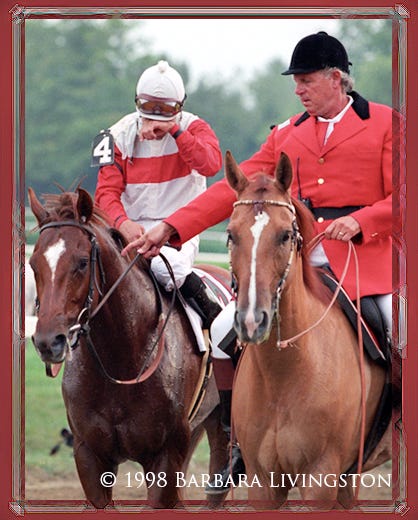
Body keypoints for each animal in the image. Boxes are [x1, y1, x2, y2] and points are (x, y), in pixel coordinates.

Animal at [28, 187, 230, 509]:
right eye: (33, 263)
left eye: (82, 262)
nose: (49, 341)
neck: (121, 361)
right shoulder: (89, 456)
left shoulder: (165, 456)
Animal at [224, 151, 391, 509]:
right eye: (231, 234)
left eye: (285, 235)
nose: (251, 320)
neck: (284, 373)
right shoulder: (263, 484)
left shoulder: (320, 480)